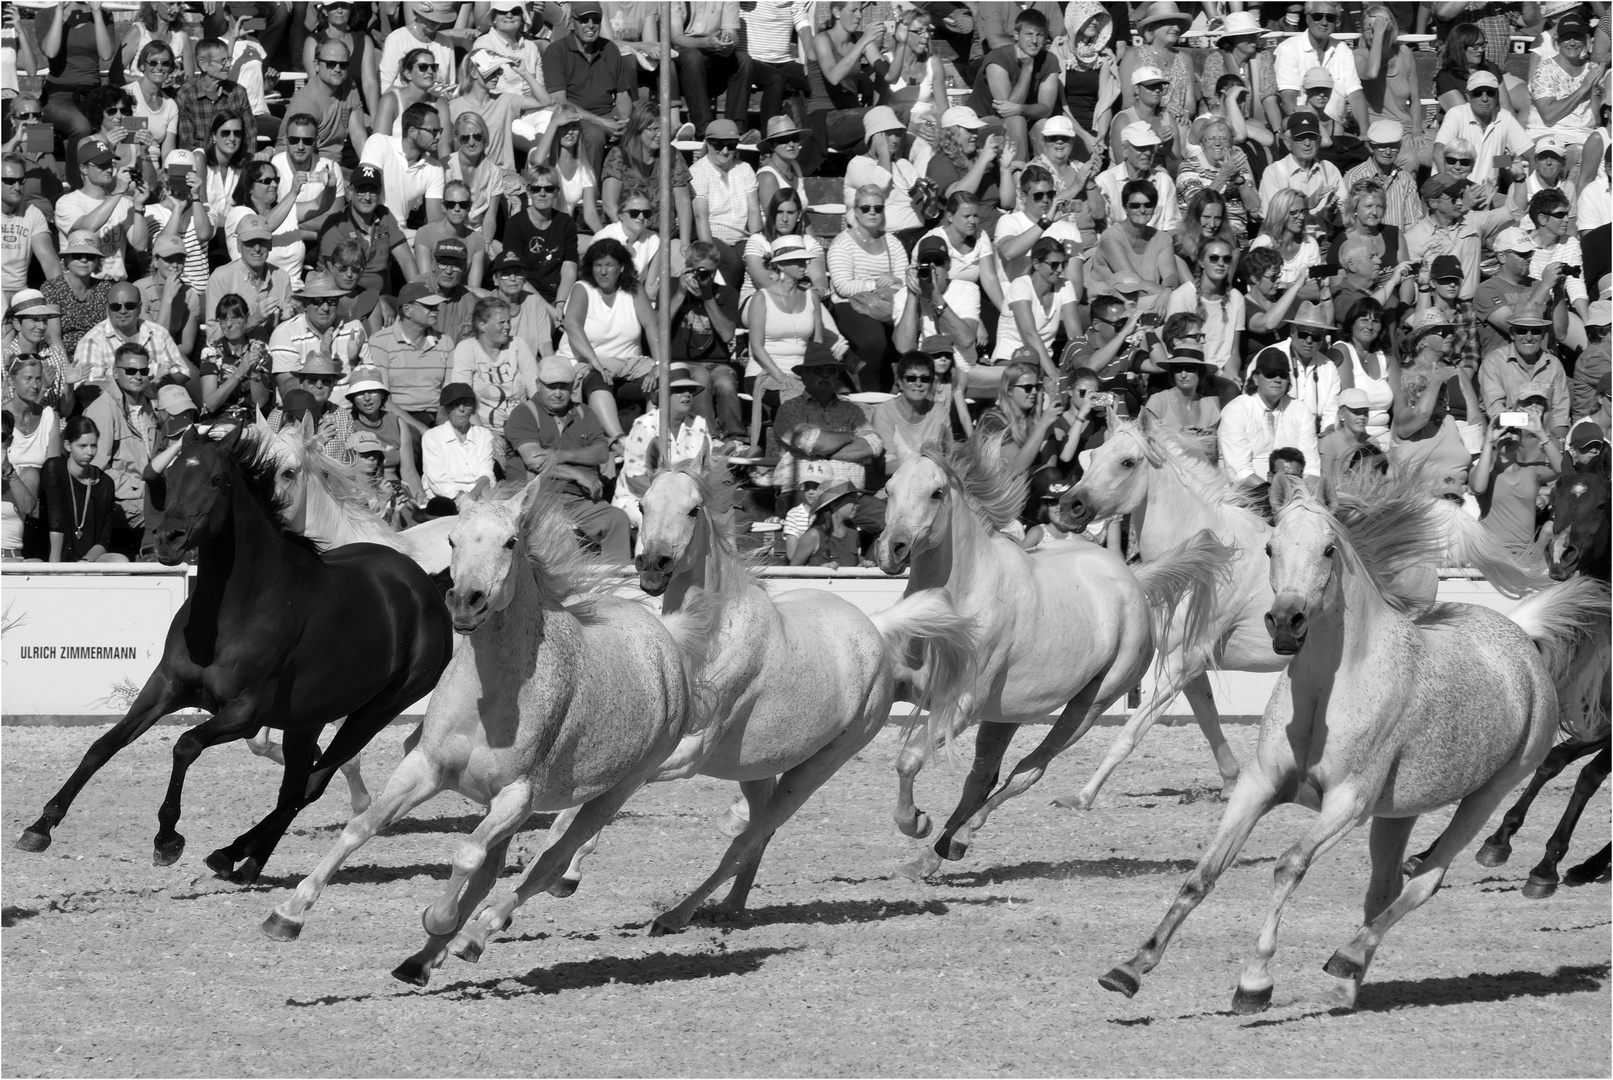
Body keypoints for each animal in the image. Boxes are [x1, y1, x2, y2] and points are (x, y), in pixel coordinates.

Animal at [14, 428, 454, 883]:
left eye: (215, 481)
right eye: (167, 477)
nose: (167, 539)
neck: (234, 610)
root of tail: (425, 586)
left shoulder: (245, 712)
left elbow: (185, 745)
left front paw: (167, 840)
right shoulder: (165, 688)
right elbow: (104, 745)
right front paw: (40, 827)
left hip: (375, 711)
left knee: (311, 784)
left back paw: (232, 853)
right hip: (307, 718)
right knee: (296, 785)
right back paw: (246, 862)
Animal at [264, 477, 712, 992]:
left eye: (511, 542)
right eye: (453, 539)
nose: (466, 601)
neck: (490, 696)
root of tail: (663, 641)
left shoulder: (517, 795)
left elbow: (466, 854)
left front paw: (439, 918)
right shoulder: (425, 768)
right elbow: (362, 828)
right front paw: (288, 913)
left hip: (611, 794)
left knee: (548, 865)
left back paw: (470, 936)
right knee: (495, 870)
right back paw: (423, 959)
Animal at [535, 461, 974, 934]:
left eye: (693, 510)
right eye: (642, 505)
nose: (653, 563)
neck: (706, 637)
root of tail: (874, 628)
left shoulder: (685, 755)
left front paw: (559, 873)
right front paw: (561, 872)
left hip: (816, 769)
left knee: (748, 841)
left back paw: (677, 915)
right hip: (759, 769)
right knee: (758, 835)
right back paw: (732, 904)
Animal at [877, 438, 1212, 876]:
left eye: (936, 493)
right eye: (888, 488)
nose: (893, 549)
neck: (959, 604)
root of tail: (1133, 582)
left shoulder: (959, 705)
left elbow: (910, 758)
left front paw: (915, 821)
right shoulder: (906, 690)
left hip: (1089, 705)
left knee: (1026, 772)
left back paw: (958, 839)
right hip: (1003, 716)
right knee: (981, 778)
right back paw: (933, 856)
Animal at [1103, 473, 1606, 1018]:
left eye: (1328, 549)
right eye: (1270, 547)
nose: (1286, 623)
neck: (1329, 692)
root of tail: (1522, 642)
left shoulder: (1348, 802)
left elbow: (1289, 865)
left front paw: (1254, 983)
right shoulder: (1259, 786)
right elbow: (1204, 873)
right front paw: (1129, 969)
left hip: (1486, 795)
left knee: (1426, 880)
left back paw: (1347, 957)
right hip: (1397, 813)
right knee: (1384, 889)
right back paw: (1345, 986)